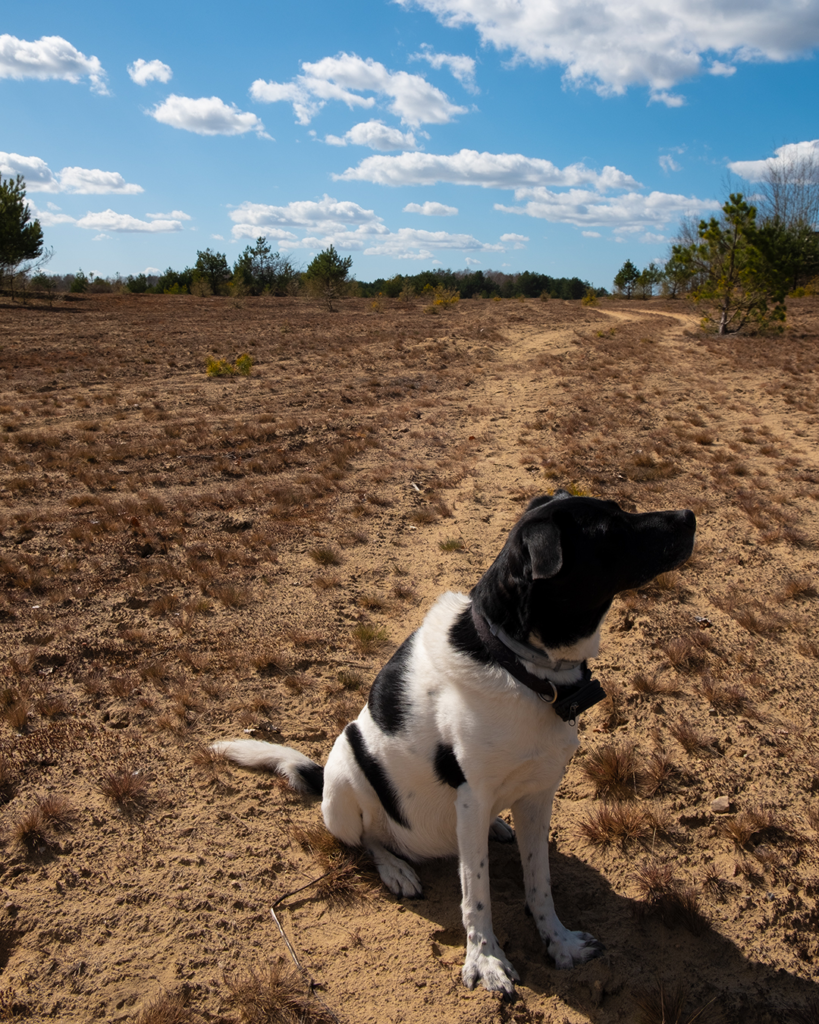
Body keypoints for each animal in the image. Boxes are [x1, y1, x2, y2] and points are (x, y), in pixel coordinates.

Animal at [213, 491, 696, 995]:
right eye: (612, 527)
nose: (690, 517)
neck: (522, 668)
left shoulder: (539, 794)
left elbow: (539, 881)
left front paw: (559, 942)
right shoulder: (472, 796)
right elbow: (476, 894)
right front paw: (485, 960)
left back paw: (494, 828)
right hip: (346, 778)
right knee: (366, 840)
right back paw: (397, 869)